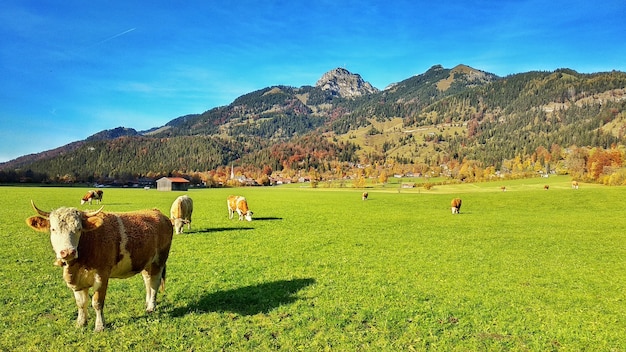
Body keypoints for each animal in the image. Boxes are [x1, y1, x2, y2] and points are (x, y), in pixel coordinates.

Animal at [25, 202, 172, 332]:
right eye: (53, 229)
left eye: (78, 229)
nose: (68, 252)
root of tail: (156, 212)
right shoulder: (78, 281)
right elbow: (81, 303)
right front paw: (80, 323)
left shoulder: (102, 276)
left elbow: (97, 303)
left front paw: (100, 326)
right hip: (146, 262)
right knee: (148, 281)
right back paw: (147, 303)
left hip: (160, 260)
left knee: (154, 283)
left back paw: (151, 306)